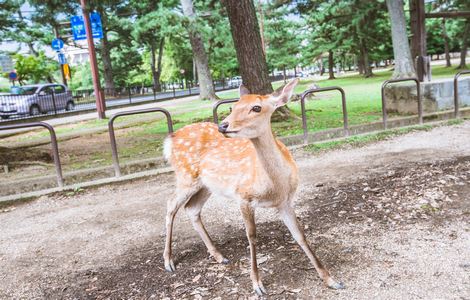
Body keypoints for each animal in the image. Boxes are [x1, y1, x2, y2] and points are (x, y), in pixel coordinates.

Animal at [163, 78, 344, 294]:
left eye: (256, 107)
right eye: (233, 106)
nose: (223, 126)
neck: (275, 186)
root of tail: (169, 140)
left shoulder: (285, 201)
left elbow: (300, 235)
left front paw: (330, 279)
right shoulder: (243, 196)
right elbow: (252, 237)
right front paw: (257, 284)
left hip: (206, 185)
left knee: (191, 208)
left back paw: (219, 256)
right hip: (185, 176)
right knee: (171, 206)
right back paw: (168, 261)